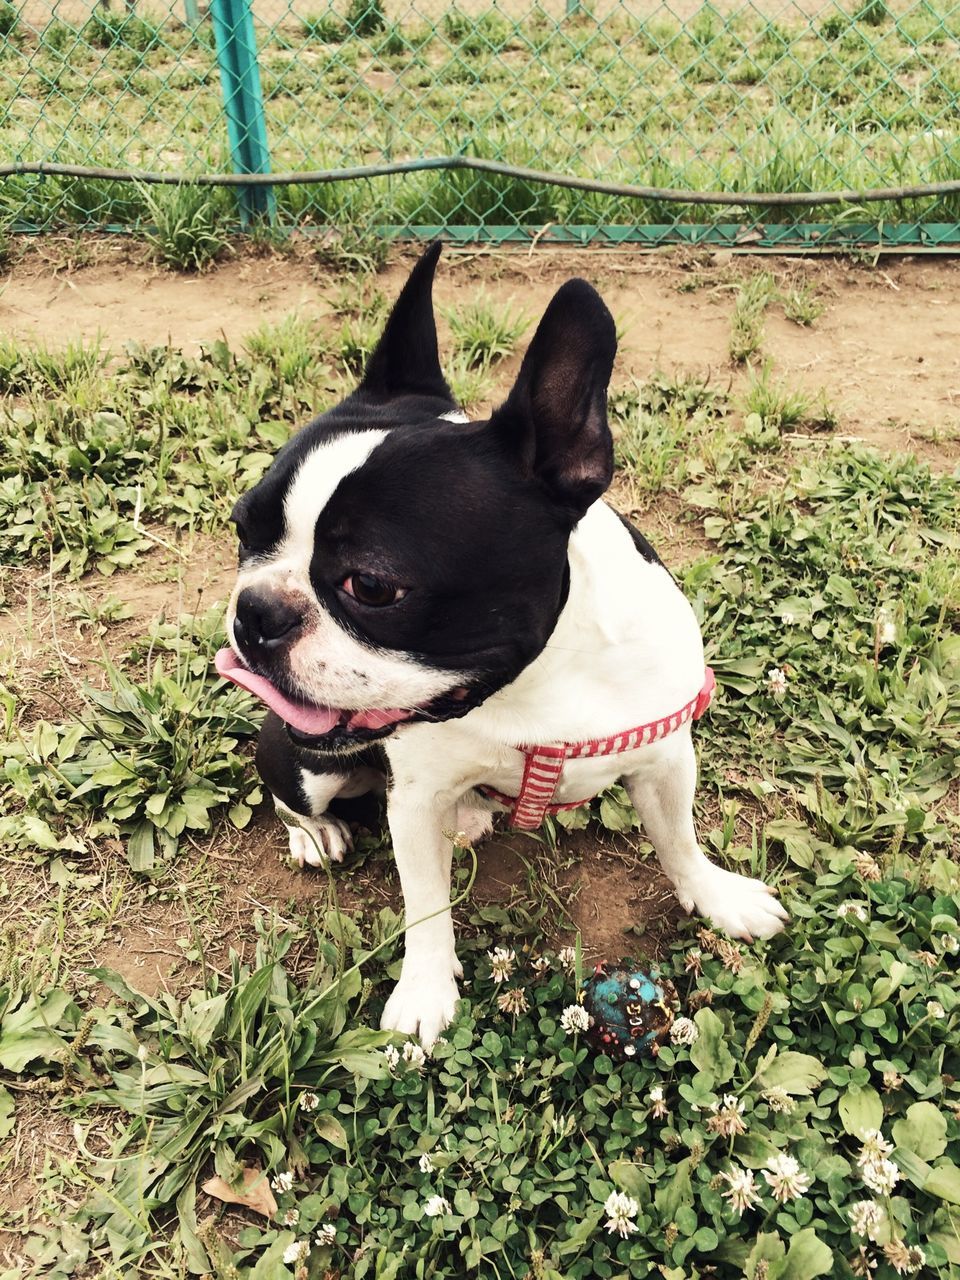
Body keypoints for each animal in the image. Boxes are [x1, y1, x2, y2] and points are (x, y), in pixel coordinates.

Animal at [213, 244, 783, 1044]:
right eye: (242, 530)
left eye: (372, 586)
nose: (255, 611)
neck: (537, 680)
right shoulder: (415, 800)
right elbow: (425, 908)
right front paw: (424, 994)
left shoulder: (666, 756)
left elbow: (679, 838)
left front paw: (717, 895)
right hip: (305, 761)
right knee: (292, 793)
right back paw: (315, 835)